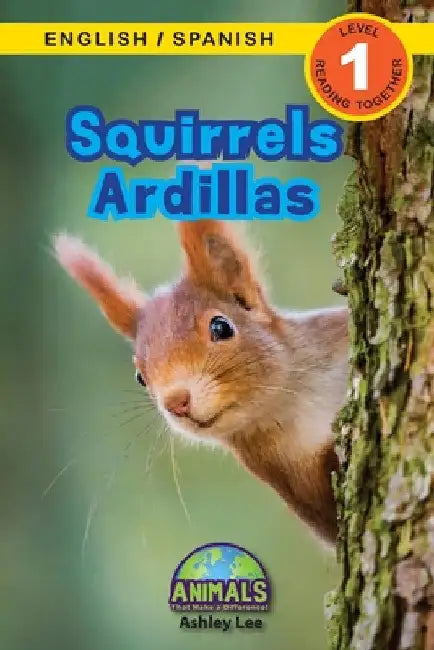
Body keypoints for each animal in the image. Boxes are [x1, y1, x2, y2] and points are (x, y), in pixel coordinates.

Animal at [53, 219, 348, 544]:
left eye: (221, 327)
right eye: (140, 377)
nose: (176, 402)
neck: (295, 400)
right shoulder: (293, 481)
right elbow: (330, 519)